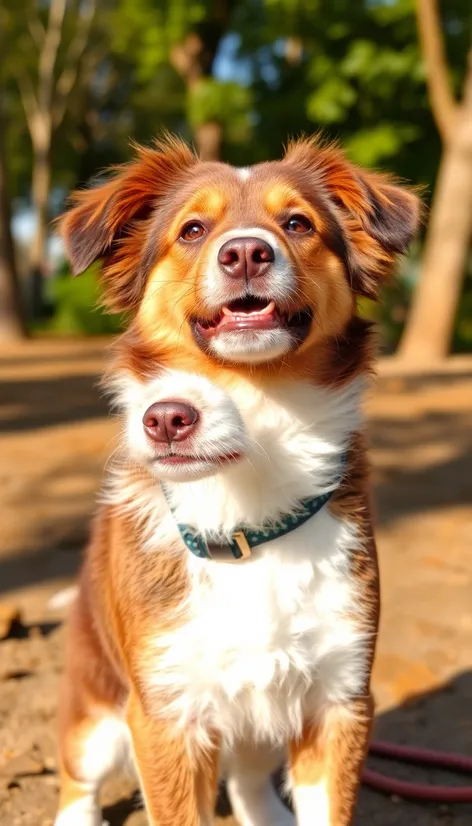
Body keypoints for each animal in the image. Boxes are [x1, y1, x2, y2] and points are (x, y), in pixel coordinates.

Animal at [53, 137, 418, 824]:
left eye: (297, 223)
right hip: (100, 716)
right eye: (193, 229)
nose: (245, 251)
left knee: (246, 778)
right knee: (75, 777)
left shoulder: (340, 699)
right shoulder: (165, 714)